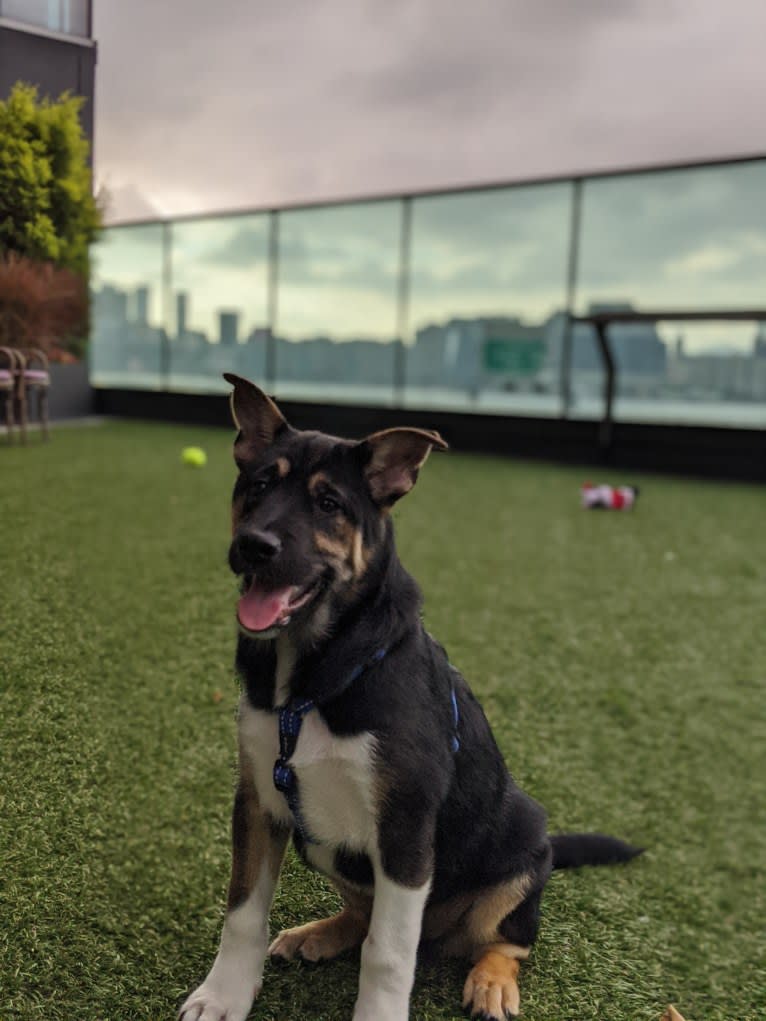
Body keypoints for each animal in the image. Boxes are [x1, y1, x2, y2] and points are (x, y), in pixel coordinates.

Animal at [179, 377, 641, 1021]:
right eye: (261, 485)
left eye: (329, 504)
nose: (253, 545)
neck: (314, 677)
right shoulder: (259, 801)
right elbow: (242, 912)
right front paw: (223, 996)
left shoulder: (405, 828)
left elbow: (389, 952)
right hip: (323, 846)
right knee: (363, 914)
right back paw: (319, 933)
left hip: (522, 850)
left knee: (505, 941)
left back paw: (491, 982)